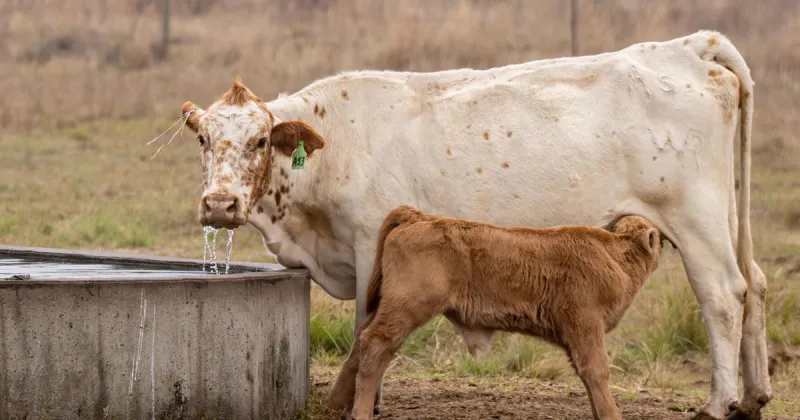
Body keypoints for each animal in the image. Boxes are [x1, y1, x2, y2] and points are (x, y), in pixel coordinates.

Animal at [327, 206, 665, 420]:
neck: (615, 253)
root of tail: (419, 217)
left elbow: (587, 374)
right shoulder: (586, 325)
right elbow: (596, 371)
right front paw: (611, 414)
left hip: (389, 309)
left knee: (360, 344)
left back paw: (333, 406)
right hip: (405, 309)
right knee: (375, 346)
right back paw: (359, 413)